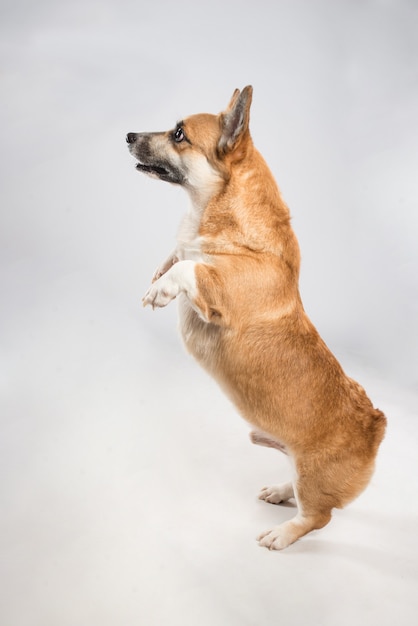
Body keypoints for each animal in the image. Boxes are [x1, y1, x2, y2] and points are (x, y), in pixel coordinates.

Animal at [125, 85, 386, 548]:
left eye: (179, 134)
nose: (128, 135)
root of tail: (375, 425)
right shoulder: (186, 247)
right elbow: (178, 253)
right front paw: (158, 274)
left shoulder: (220, 291)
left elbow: (190, 267)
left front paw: (162, 289)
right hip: (296, 464)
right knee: (298, 490)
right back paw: (279, 492)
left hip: (313, 479)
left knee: (317, 516)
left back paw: (280, 535)